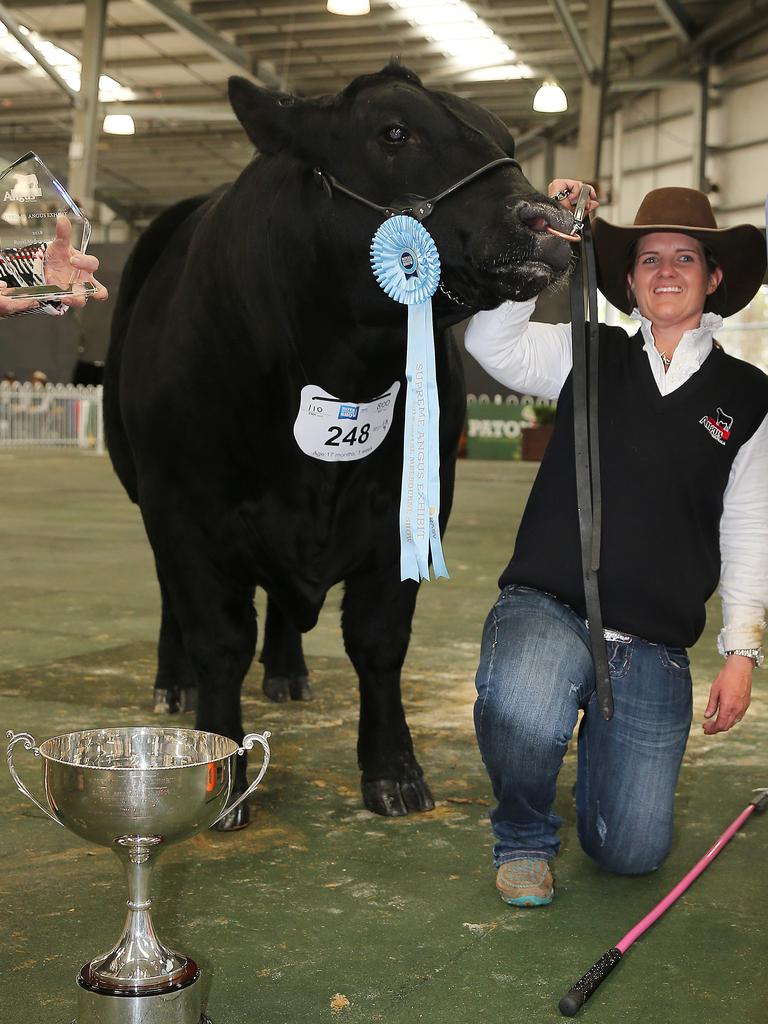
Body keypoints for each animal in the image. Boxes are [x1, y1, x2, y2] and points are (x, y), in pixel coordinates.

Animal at [107, 64, 577, 827]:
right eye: (394, 131)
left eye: (506, 139)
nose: (548, 222)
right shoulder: (183, 505)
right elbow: (218, 638)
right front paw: (222, 774)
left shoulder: (410, 505)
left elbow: (379, 642)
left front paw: (394, 771)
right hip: (144, 490)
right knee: (170, 597)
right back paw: (172, 684)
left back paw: (288, 672)